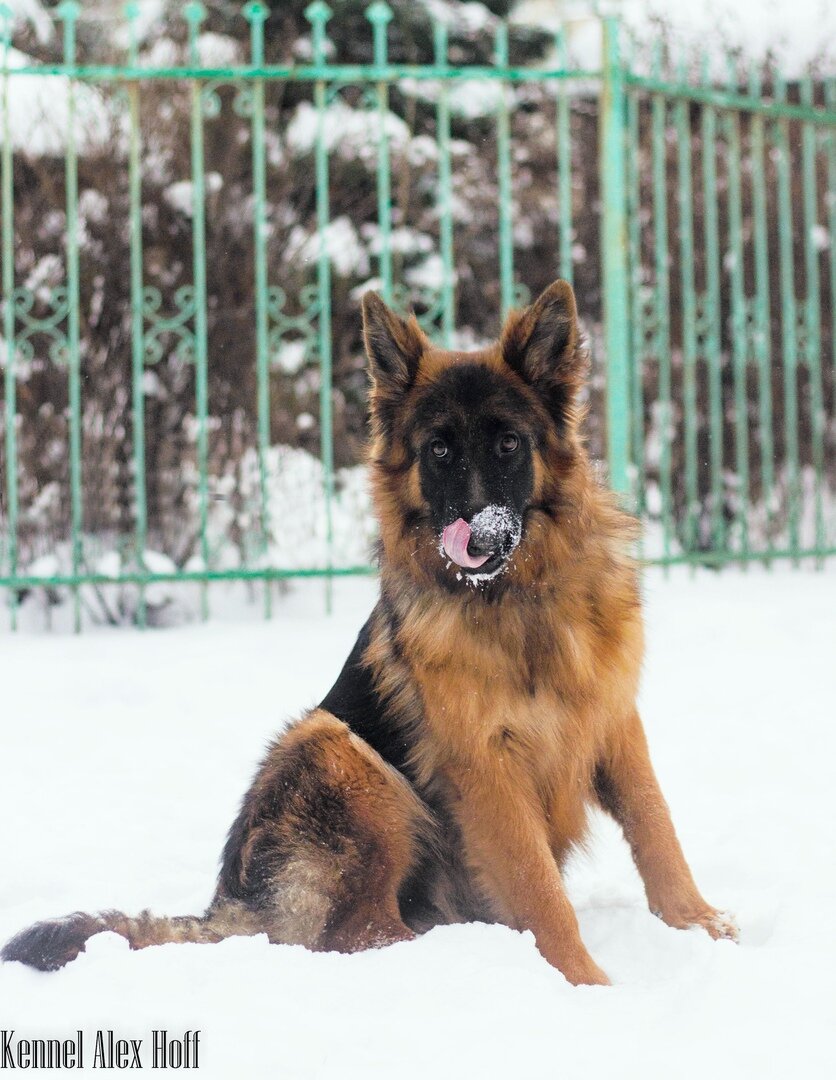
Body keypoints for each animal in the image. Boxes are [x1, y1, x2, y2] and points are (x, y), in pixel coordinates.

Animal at [0, 282, 738, 984]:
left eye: (509, 445)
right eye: (438, 451)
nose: (479, 536)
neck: (518, 601)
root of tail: (233, 905)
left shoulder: (614, 722)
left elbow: (656, 827)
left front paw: (699, 924)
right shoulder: (488, 769)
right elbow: (541, 891)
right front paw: (587, 983)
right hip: (344, 753)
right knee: (356, 933)